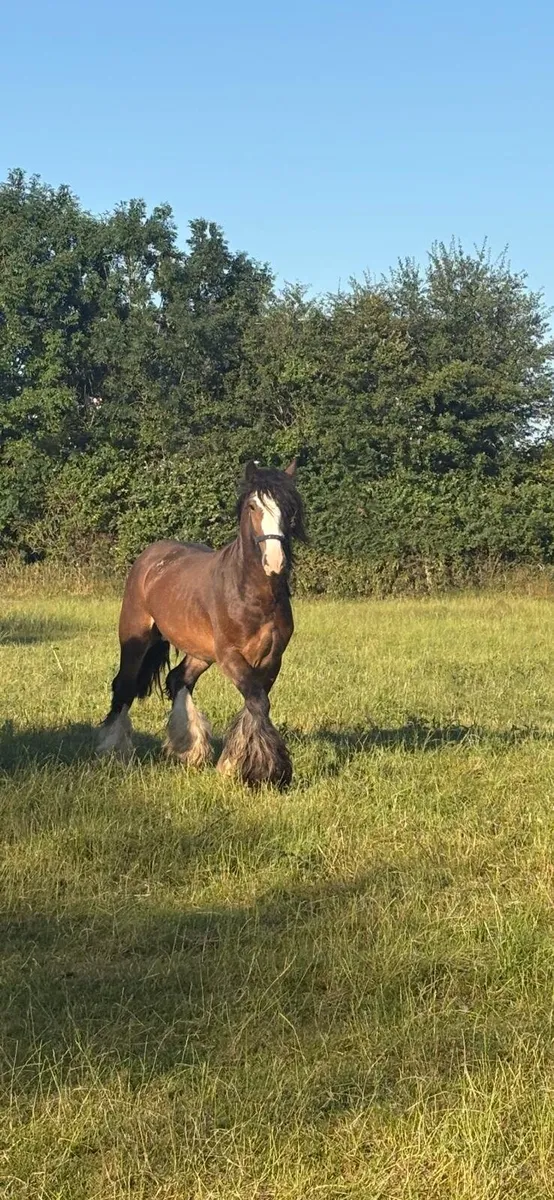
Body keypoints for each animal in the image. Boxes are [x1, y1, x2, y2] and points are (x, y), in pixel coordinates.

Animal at [98, 459, 305, 787]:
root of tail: (150, 556)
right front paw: (266, 770)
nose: (275, 561)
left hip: (200, 651)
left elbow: (255, 704)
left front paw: (232, 765)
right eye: (253, 506)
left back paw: (188, 749)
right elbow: (258, 703)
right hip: (136, 639)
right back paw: (114, 751)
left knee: (179, 679)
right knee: (125, 685)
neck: (251, 593)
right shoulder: (231, 656)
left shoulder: (272, 659)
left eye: (289, 508)